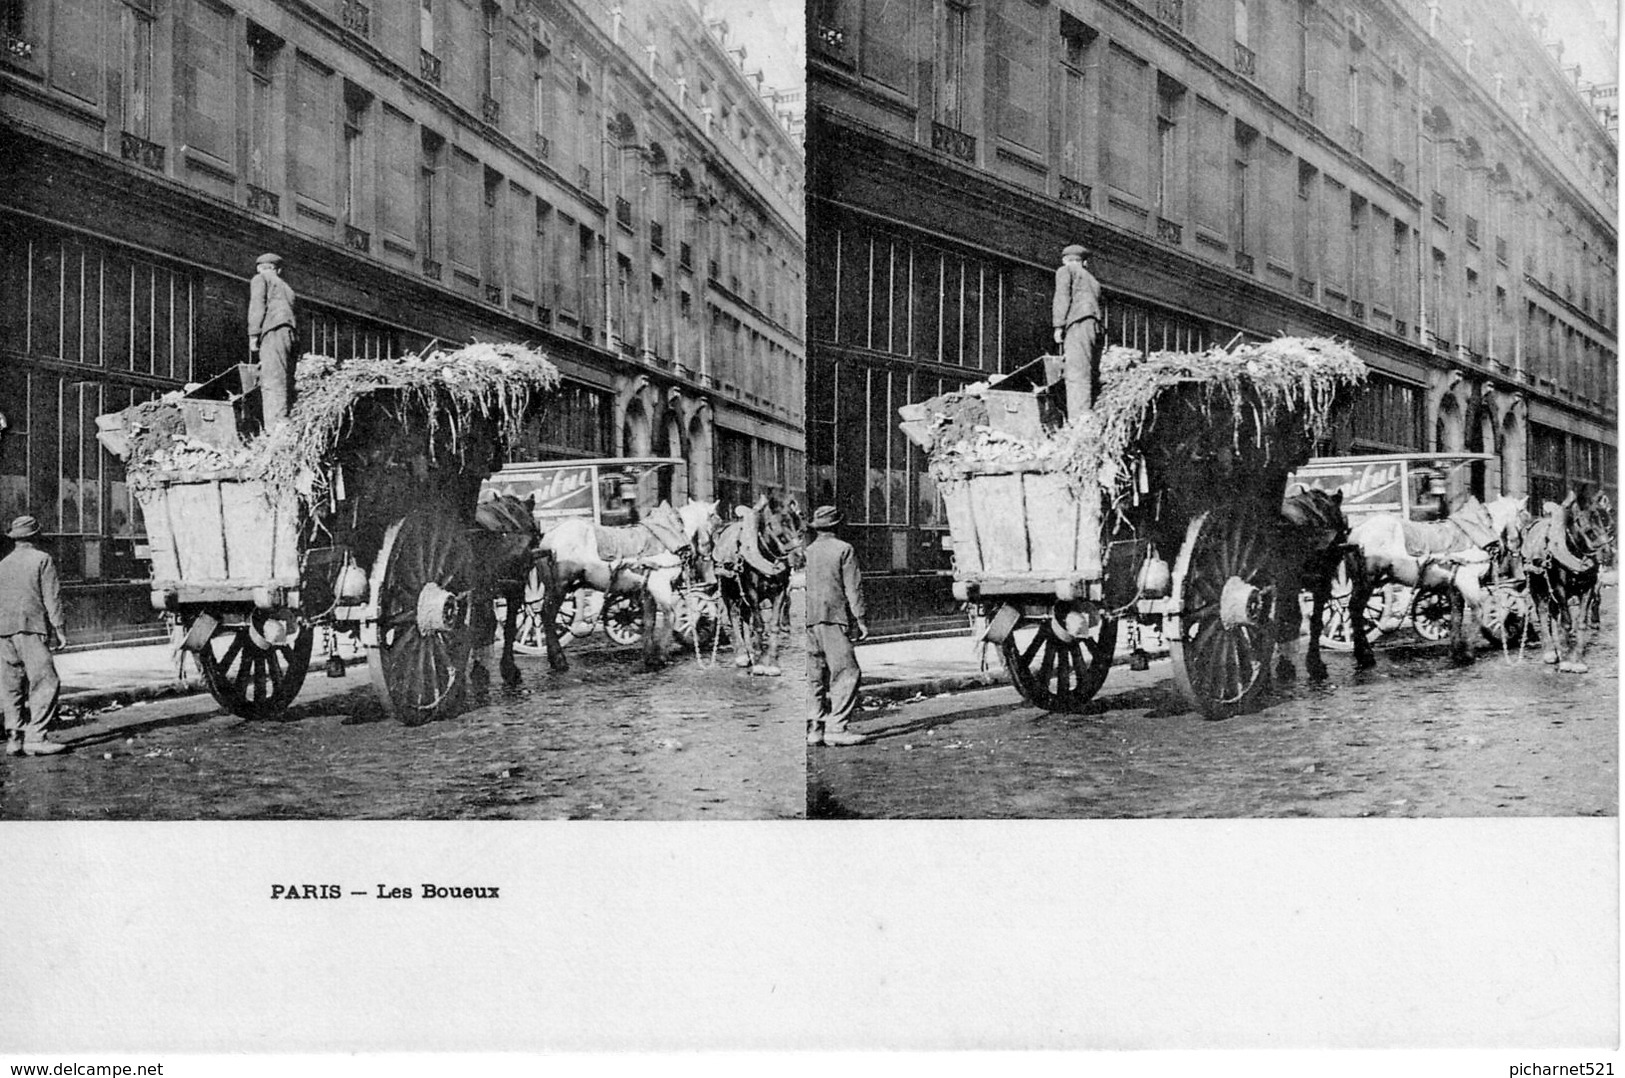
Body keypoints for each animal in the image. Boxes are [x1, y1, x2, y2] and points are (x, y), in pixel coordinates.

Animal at [533, 500, 718, 669]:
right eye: (715, 519)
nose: (709, 555)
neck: (667, 537)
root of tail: (549, 537)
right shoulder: (660, 585)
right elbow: (670, 616)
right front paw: (661, 655)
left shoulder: (648, 590)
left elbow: (649, 620)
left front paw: (650, 657)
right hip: (559, 587)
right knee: (547, 616)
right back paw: (558, 660)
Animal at [718, 494, 806, 676]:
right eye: (773, 524)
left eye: (796, 523)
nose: (799, 557)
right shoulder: (752, 592)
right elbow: (758, 625)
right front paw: (759, 664)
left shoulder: (780, 592)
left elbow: (773, 626)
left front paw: (772, 663)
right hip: (727, 590)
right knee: (734, 615)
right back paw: (742, 654)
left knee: (745, 617)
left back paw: (751, 651)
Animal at [1345, 494, 1521, 666]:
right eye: (1522, 513)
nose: (1515, 548)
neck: (1473, 532)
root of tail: (1357, 531)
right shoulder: (1468, 582)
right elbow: (1477, 613)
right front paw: (1468, 653)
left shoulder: (1454, 586)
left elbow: (1456, 616)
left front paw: (1457, 651)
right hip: (1367, 581)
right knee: (1356, 610)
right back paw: (1365, 655)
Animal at [1514, 491, 1605, 676]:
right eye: (1579, 520)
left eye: (1602, 517)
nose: (1603, 547)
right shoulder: (1559, 587)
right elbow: (1566, 622)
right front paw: (1565, 661)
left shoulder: (1588, 588)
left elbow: (1580, 622)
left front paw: (1577, 660)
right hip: (1536, 584)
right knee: (1543, 612)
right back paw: (1550, 652)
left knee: (1554, 613)